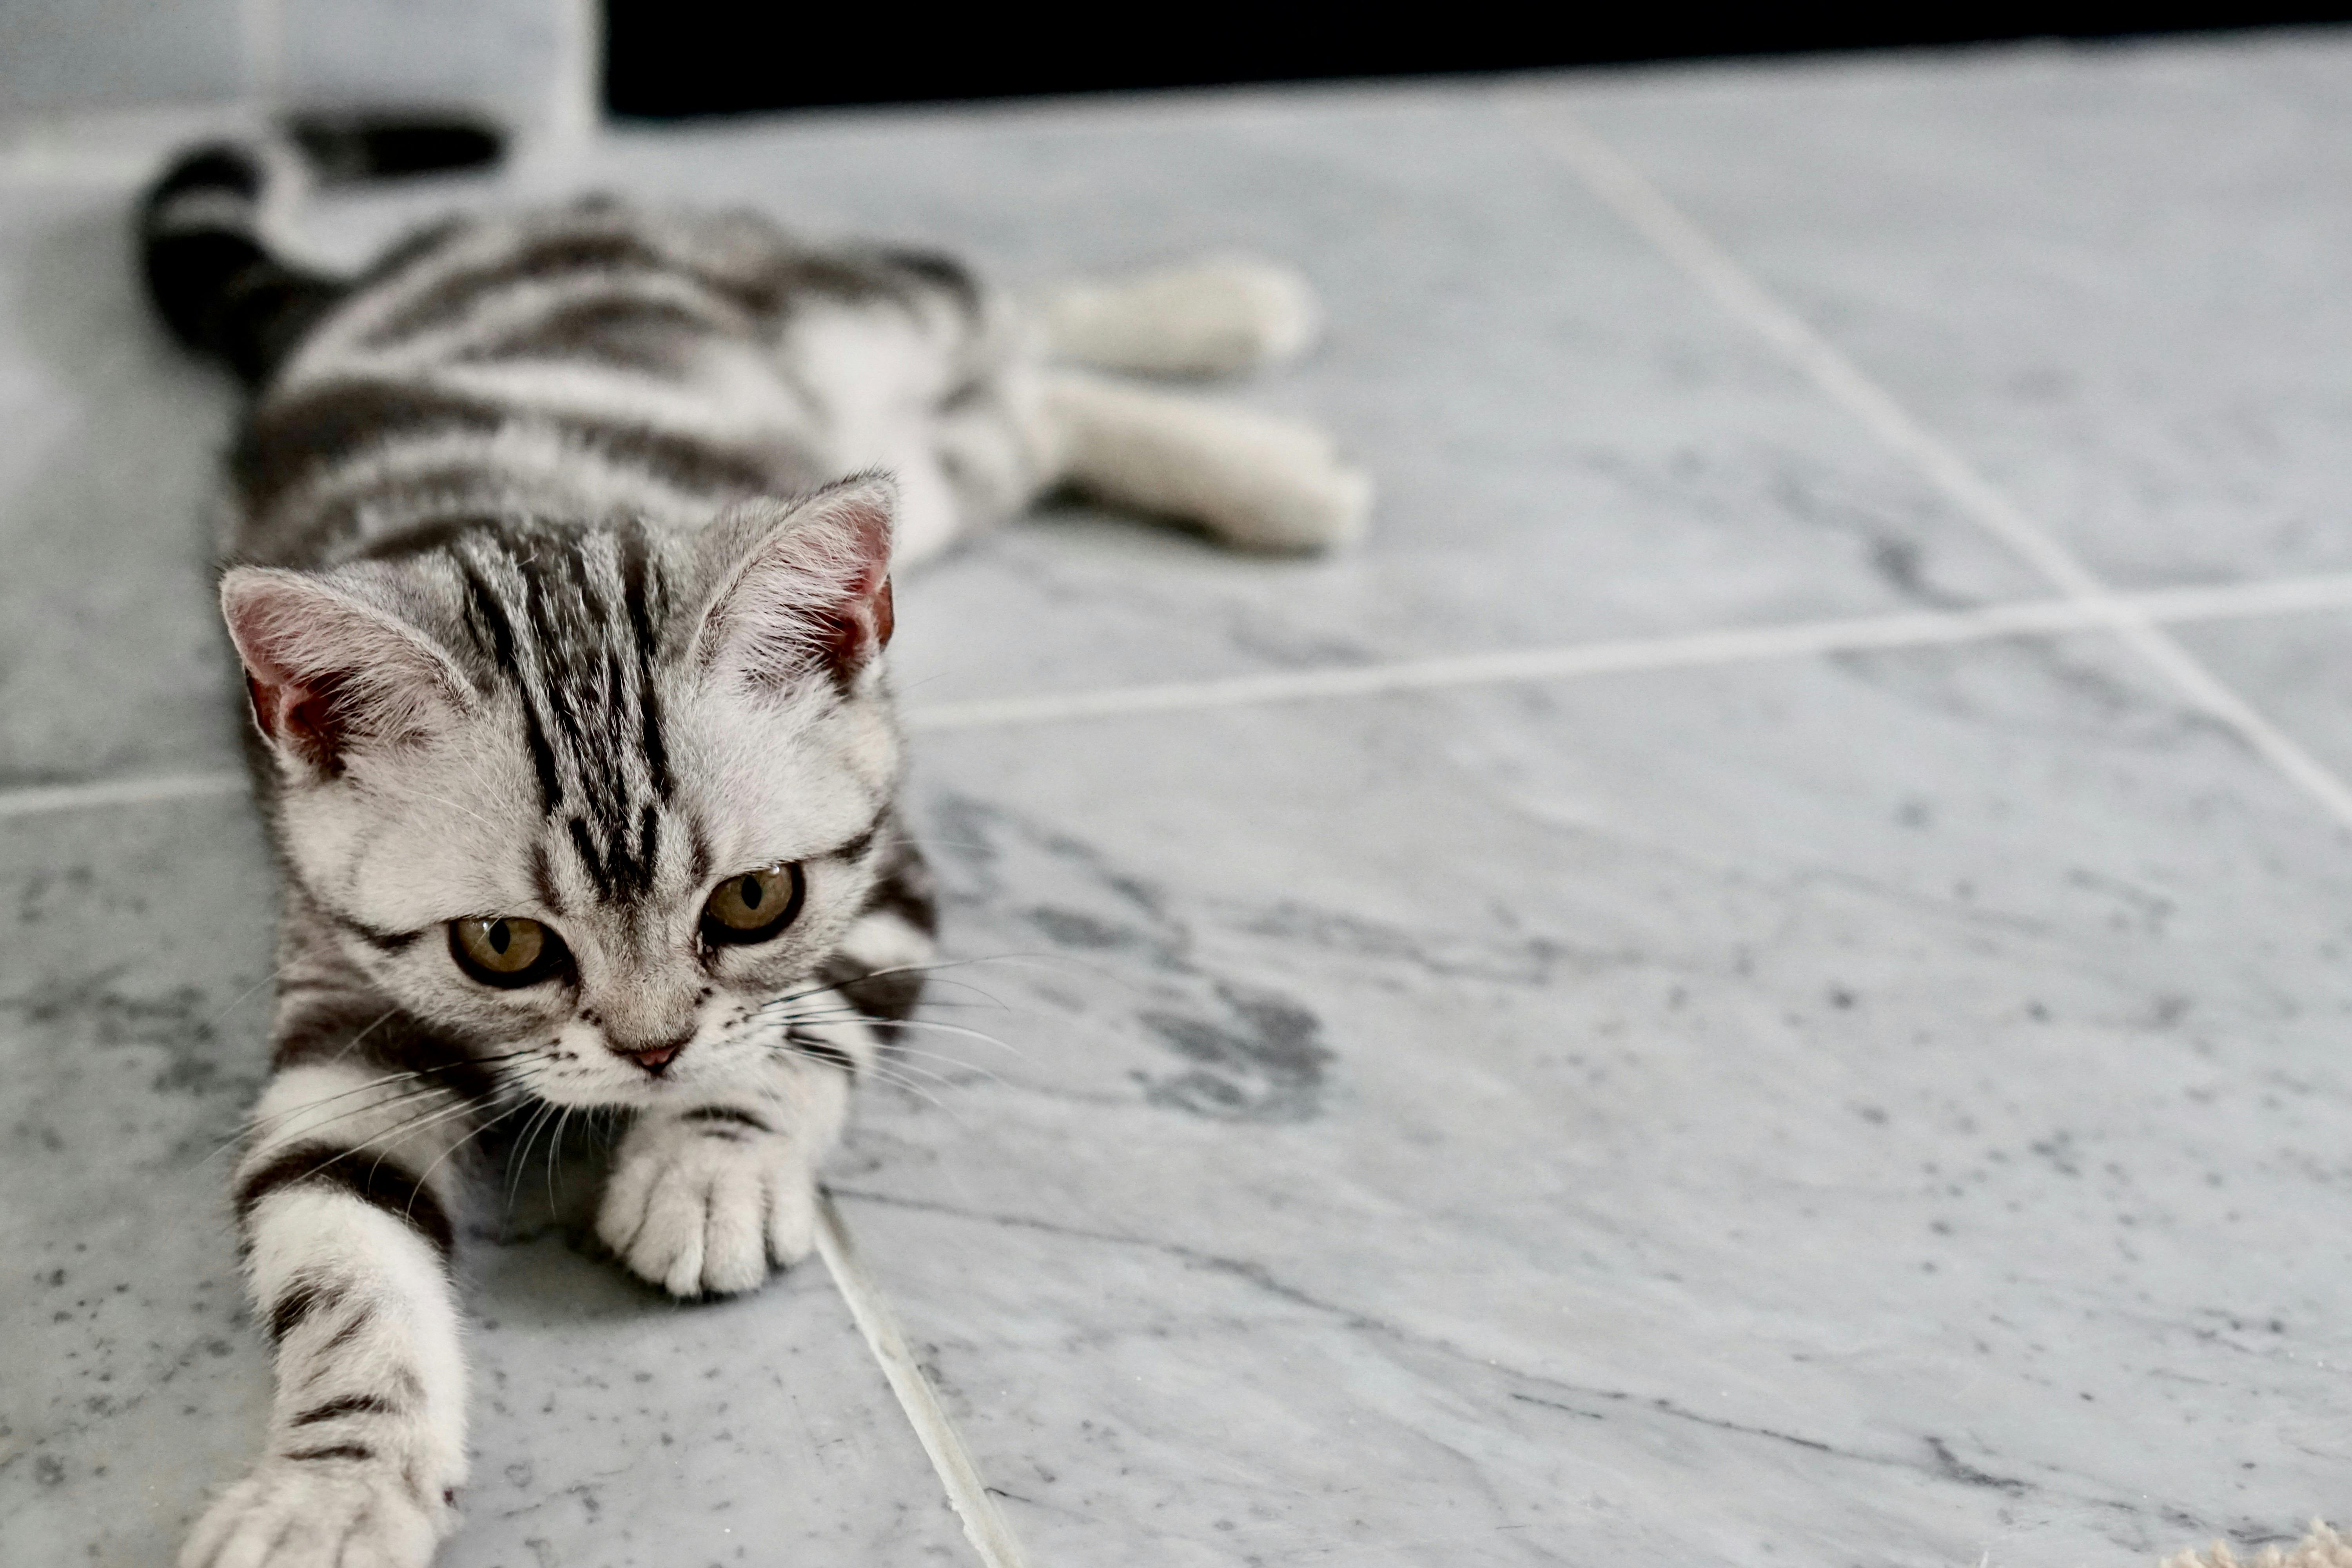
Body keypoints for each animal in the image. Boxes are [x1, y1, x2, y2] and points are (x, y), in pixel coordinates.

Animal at [142, 135, 1364, 1568]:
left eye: (752, 902)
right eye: (504, 945)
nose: (653, 1053)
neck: (517, 523)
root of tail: (379, 279)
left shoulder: (886, 875)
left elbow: (807, 1025)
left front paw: (708, 1167)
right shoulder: (339, 995)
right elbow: (338, 1246)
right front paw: (336, 1480)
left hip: (854, 314)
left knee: (1002, 315)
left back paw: (1240, 344)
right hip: (914, 471)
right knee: (1011, 424)